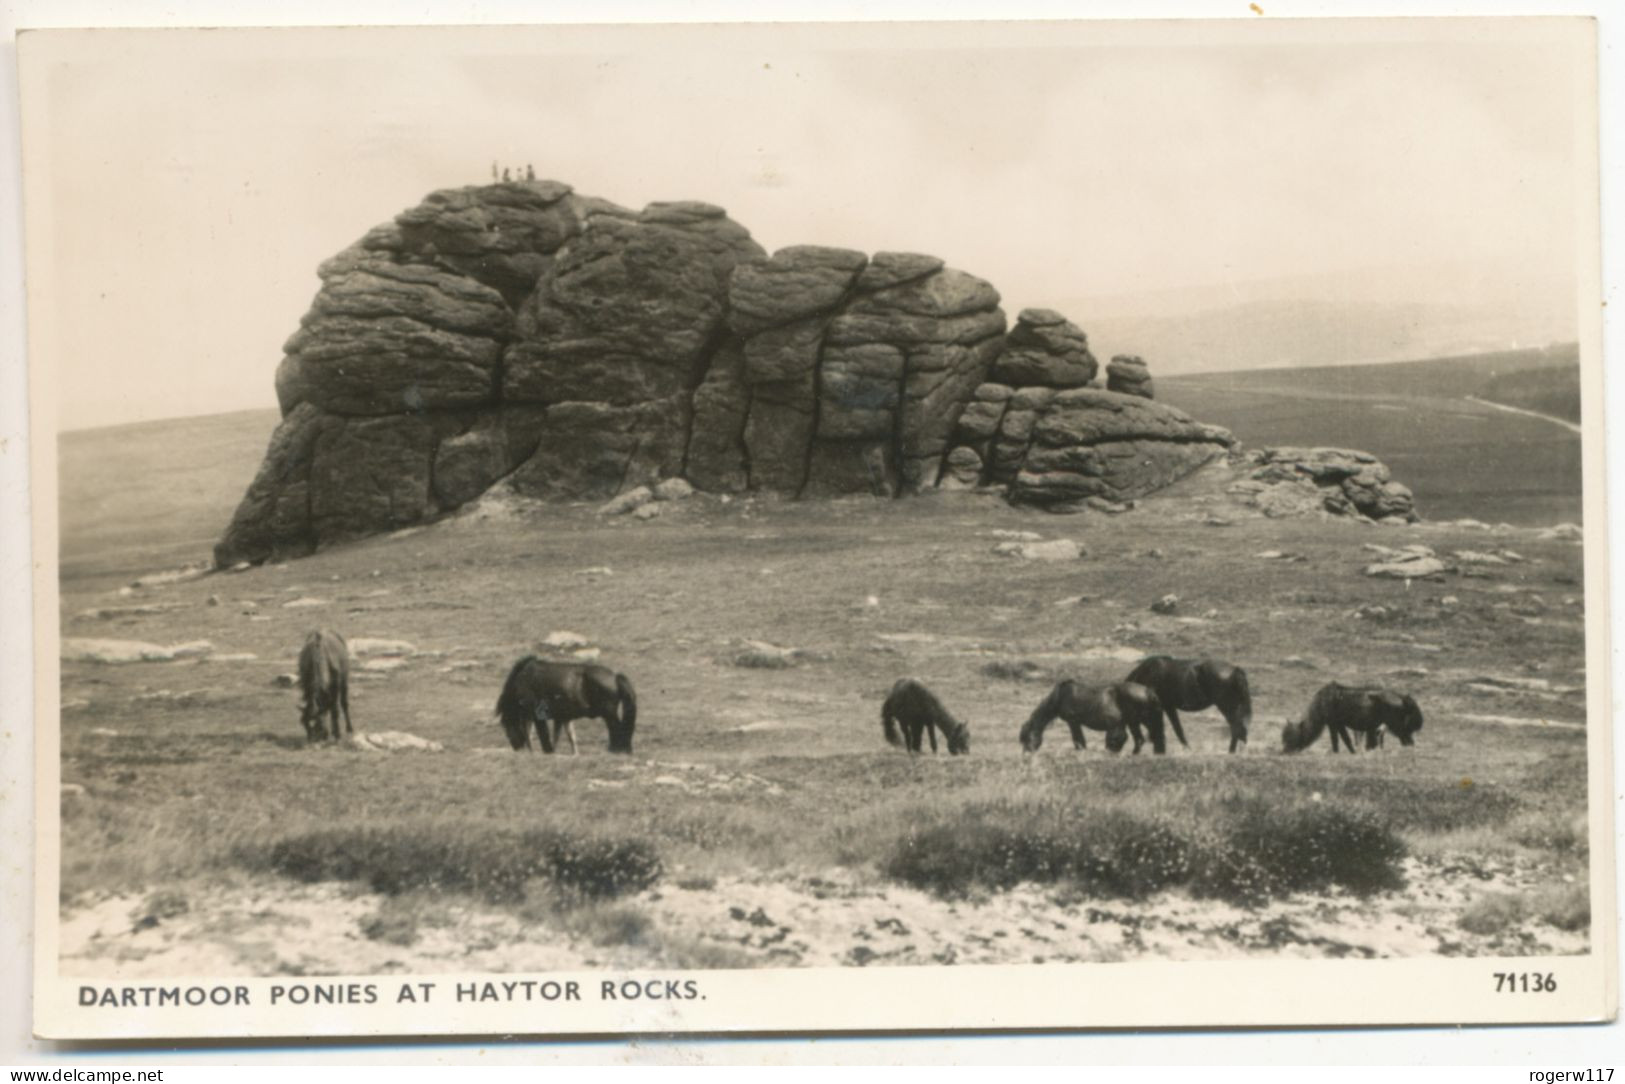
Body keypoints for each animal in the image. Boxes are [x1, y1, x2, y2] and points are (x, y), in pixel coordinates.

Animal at [497, 653, 637, 754]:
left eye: (506, 724)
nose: (516, 747)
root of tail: (615, 677)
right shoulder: (562, 718)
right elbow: (566, 737)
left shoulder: (537, 715)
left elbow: (541, 734)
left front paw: (547, 750)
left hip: (609, 713)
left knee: (617, 728)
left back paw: (615, 749)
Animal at [1014, 679, 1170, 754]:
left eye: (1027, 738)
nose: (1026, 755)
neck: (1061, 696)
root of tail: (1148, 691)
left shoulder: (1073, 722)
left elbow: (1078, 740)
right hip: (1136, 722)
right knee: (1142, 739)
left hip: (1140, 721)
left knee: (1146, 738)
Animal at [1280, 685, 1423, 754]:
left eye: (1291, 736)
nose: (1284, 751)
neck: (1321, 703)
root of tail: (1404, 699)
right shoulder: (1339, 724)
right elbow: (1346, 740)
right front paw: (1353, 752)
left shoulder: (1333, 723)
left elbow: (1337, 741)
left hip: (1397, 727)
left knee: (1408, 742)